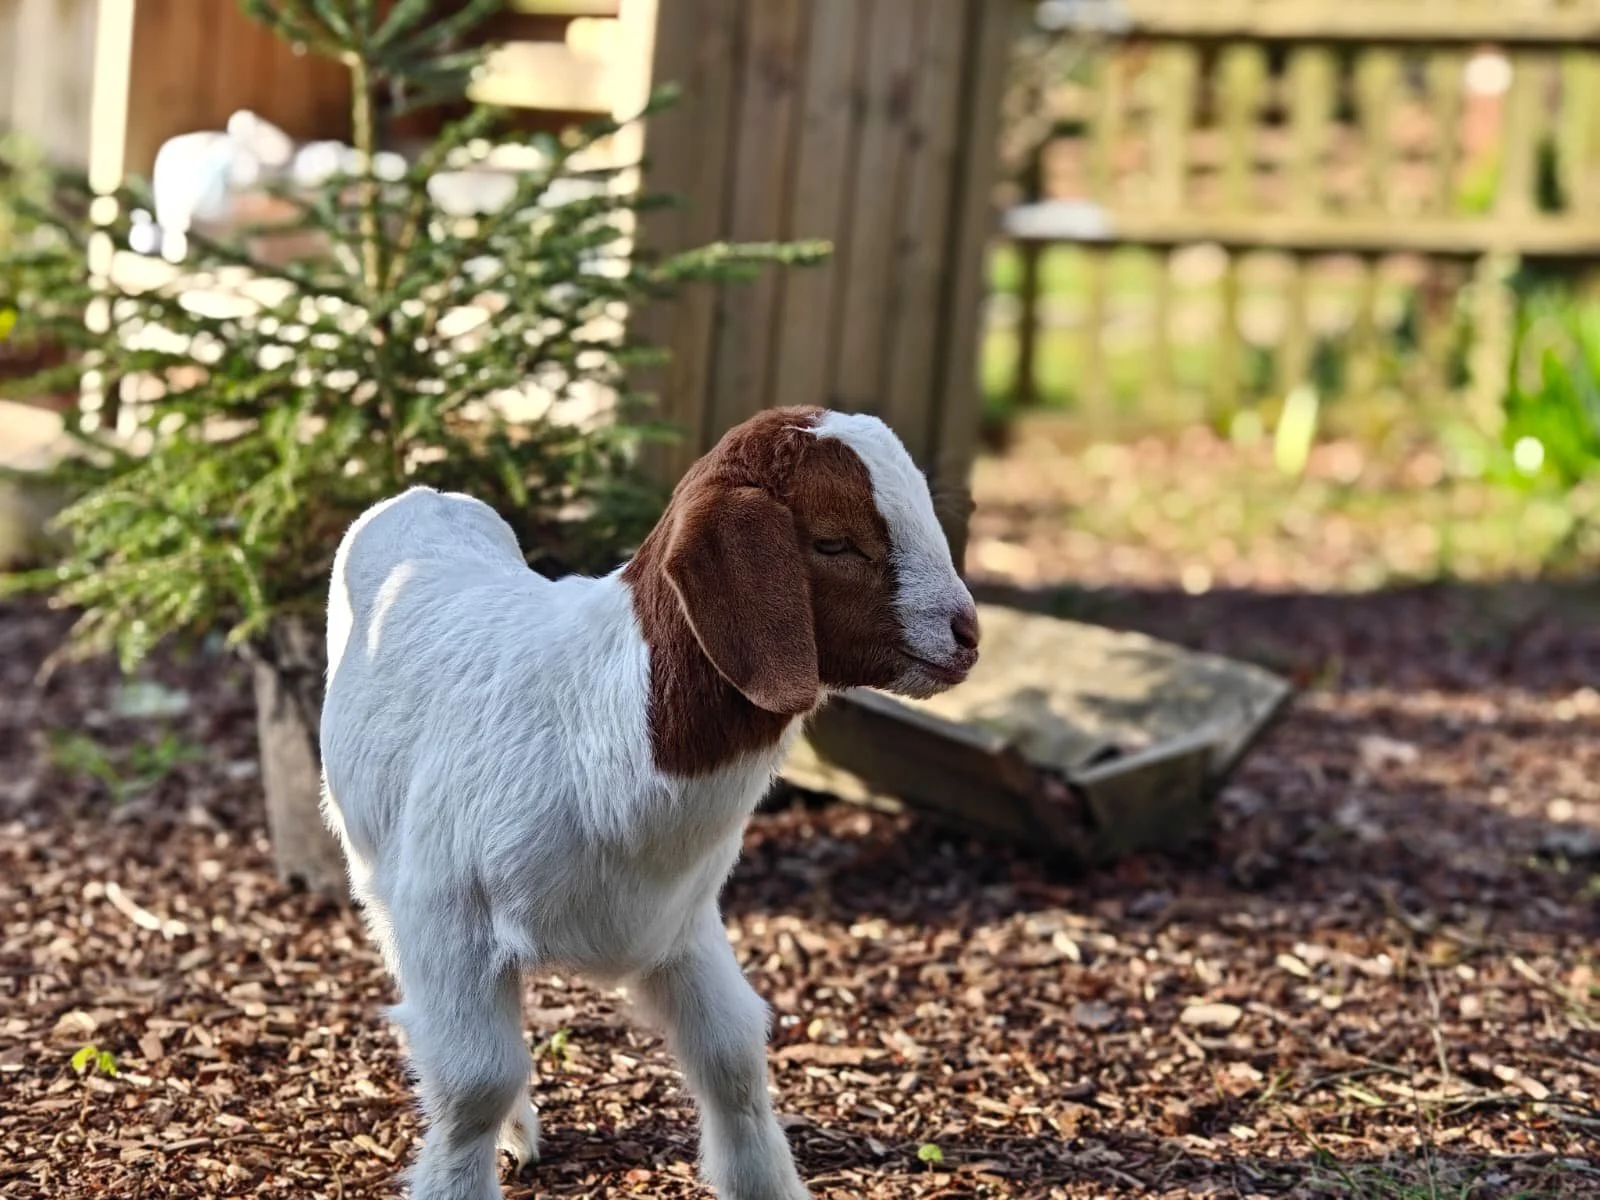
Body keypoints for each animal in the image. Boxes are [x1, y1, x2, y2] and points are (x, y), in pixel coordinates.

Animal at [319, 406, 981, 1200]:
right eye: (833, 541)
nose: (968, 635)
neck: (603, 720)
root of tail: (424, 494)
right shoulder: (446, 913)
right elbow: (475, 1080)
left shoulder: (681, 923)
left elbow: (732, 1055)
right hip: (374, 865)